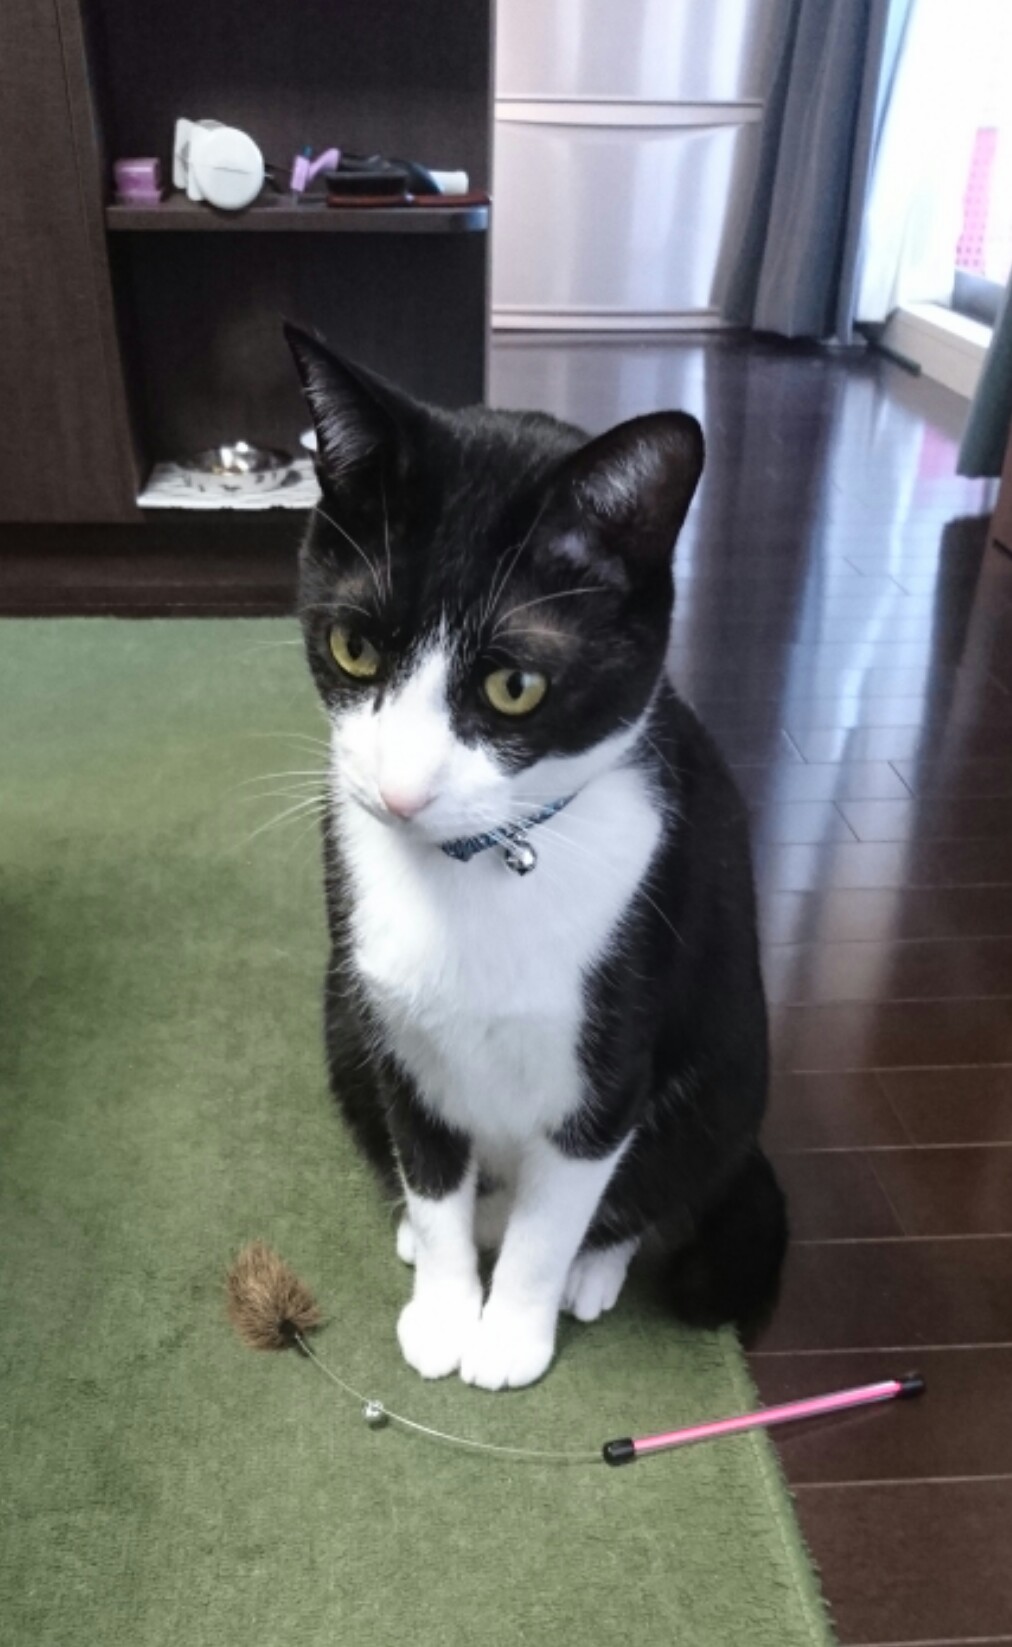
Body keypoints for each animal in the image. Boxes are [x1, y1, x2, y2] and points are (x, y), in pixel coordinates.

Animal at [286, 324, 787, 1391]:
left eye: (514, 685)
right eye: (353, 647)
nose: (399, 792)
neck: (476, 868)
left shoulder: (609, 1062)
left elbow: (554, 1218)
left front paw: (511, 1331)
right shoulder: (399, 1039)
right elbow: (432, 1176)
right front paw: (444, 1309)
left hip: (729, 1067)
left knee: (648, 1182)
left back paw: (592, 1272)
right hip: (342, 1021)